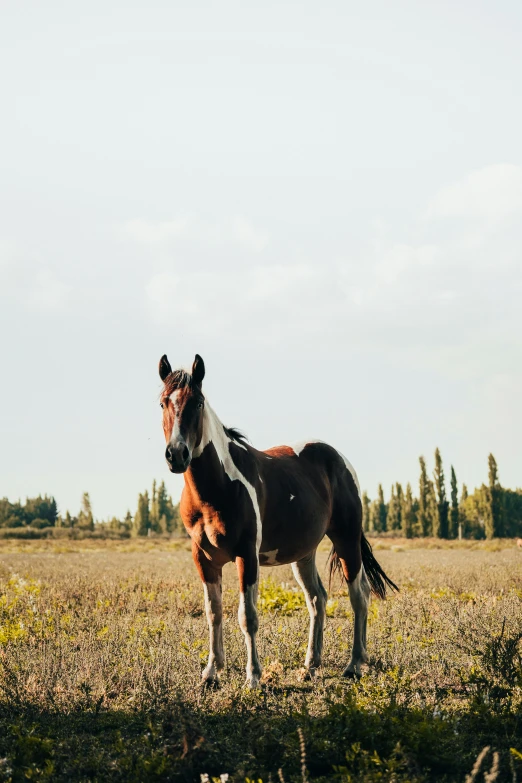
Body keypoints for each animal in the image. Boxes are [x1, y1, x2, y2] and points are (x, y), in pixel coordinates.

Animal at [156, 354, 396, 688]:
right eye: (163, 402)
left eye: (198, 403)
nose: (177, 455)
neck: (217, 490)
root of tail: (338, 458)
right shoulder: (203, 559)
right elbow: (213, 613)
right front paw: (211, 673)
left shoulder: (246, 556)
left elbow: (248, 616)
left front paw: (253, 678)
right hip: (303, 554)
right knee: (317, 599)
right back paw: (310, 666)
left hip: (346, 540)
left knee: (358, 595)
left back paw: (354, 665)